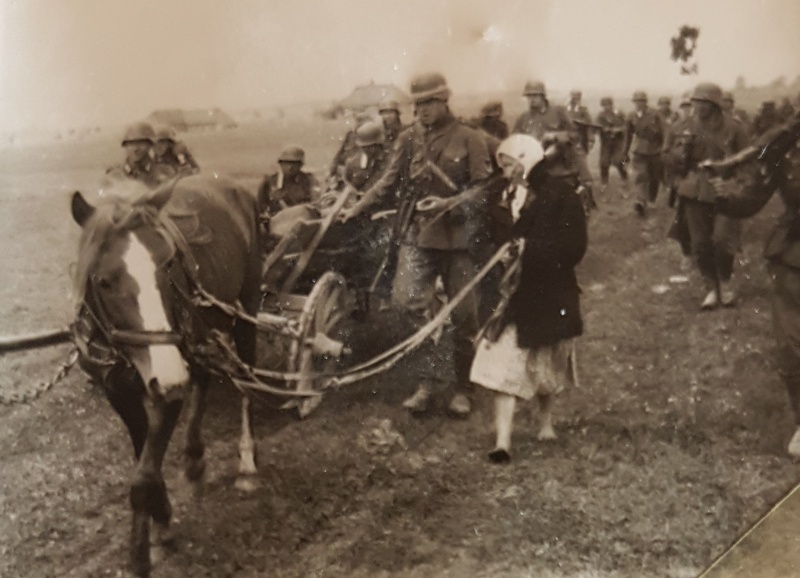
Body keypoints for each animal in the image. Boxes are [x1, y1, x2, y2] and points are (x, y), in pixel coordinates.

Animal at [70, 174, 265, 577]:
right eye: (104, 282)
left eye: (168, 265)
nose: (170, 376)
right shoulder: (120, 390)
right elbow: (143, 453)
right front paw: (161, 514)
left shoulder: (170, 384)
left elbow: (142, 477)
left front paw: (140, 554)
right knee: (203, 377)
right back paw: (194, 457)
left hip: (246, 307)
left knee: (246, 381)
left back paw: (246, 460)